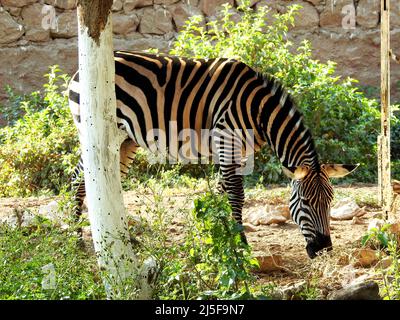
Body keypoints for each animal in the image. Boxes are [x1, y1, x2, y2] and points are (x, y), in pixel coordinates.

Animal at [67, 51, 358, 258]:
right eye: (306, 202)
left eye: (330, 202)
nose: (324, 249)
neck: (258, 111)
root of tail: (79, 72)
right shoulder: (227, 141)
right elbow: (236, 195)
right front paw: (239, 243)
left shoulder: (238, 151)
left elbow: (221, 192)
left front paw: (213, 236)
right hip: (95, 132)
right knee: (78, 179)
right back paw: (74, 238)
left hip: (125, 140)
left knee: (106, 184)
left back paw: (122, 237)